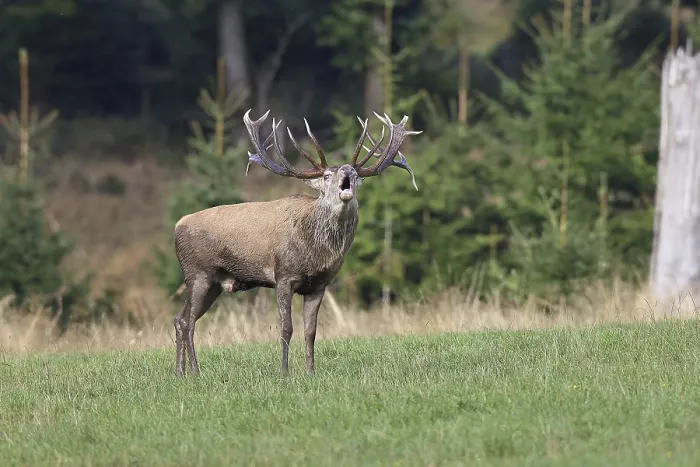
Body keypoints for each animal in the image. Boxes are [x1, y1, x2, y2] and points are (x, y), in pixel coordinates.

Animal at [172, 109, 421, 377]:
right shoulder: (283, 276)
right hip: (199, 273)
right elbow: (286, 328)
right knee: (188, 321)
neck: (314, 250)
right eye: (326, 175)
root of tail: (177, 227)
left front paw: (310, 372)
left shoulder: (319, 284)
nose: (347, 170)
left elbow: (311, 331)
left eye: (354, 175)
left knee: (179, 318)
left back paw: (179, 372)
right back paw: (195, 371)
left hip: (215, 283)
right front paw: (284, 372)